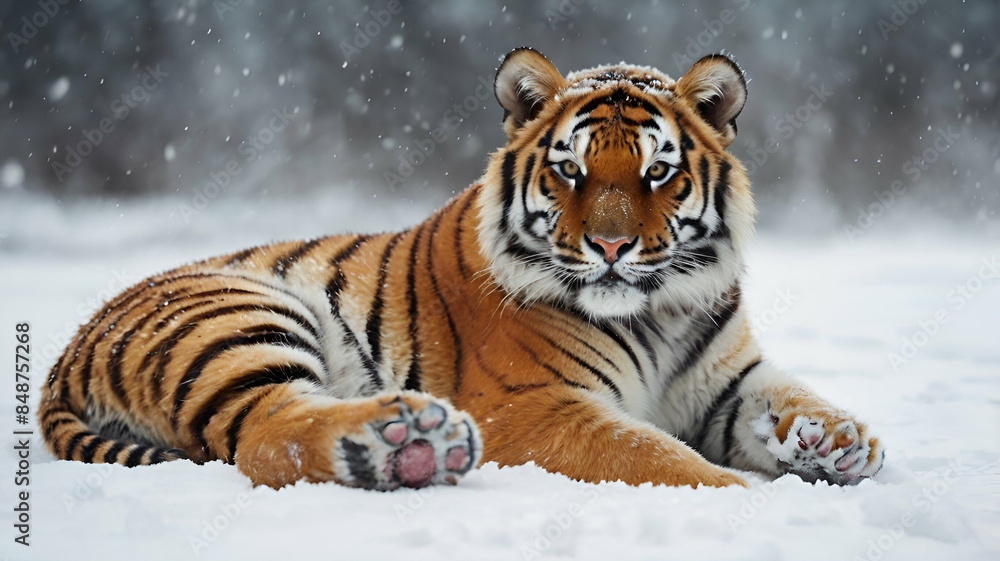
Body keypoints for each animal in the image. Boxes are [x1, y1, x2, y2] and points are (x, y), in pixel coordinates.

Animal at [39, 48, 885, 491]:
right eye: (571, 170)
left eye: (656, 173)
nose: (611, 248)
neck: (660, 308)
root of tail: (62, 356)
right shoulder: (533, 405)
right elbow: (648, 451)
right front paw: (743, 495)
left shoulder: (724, 377)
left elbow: (786, 395)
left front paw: (839, 439)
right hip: (239, 313)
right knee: (266, 431)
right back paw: (407, 438)